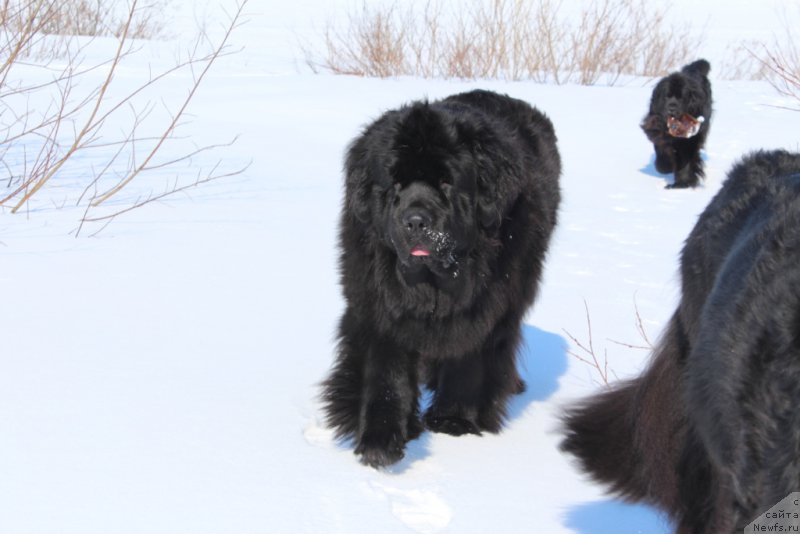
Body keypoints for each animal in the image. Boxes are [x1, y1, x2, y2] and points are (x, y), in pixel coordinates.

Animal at [322, 91, 560, 468]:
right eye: (395, 183)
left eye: (447, 182)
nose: (416, 221)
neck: (432, 284)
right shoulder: (377, 303)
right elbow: (385, 370)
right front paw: (380, 440)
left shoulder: (486, 308)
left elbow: (468, 358)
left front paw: (454, 420)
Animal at [640, 58, 716, 188]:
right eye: (667, 96)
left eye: (681, 97)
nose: (672, 108)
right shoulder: (657, 130)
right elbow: (661, 146)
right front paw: (664, 166)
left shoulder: (691, 139)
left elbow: (686, 159)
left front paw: (682, 183)